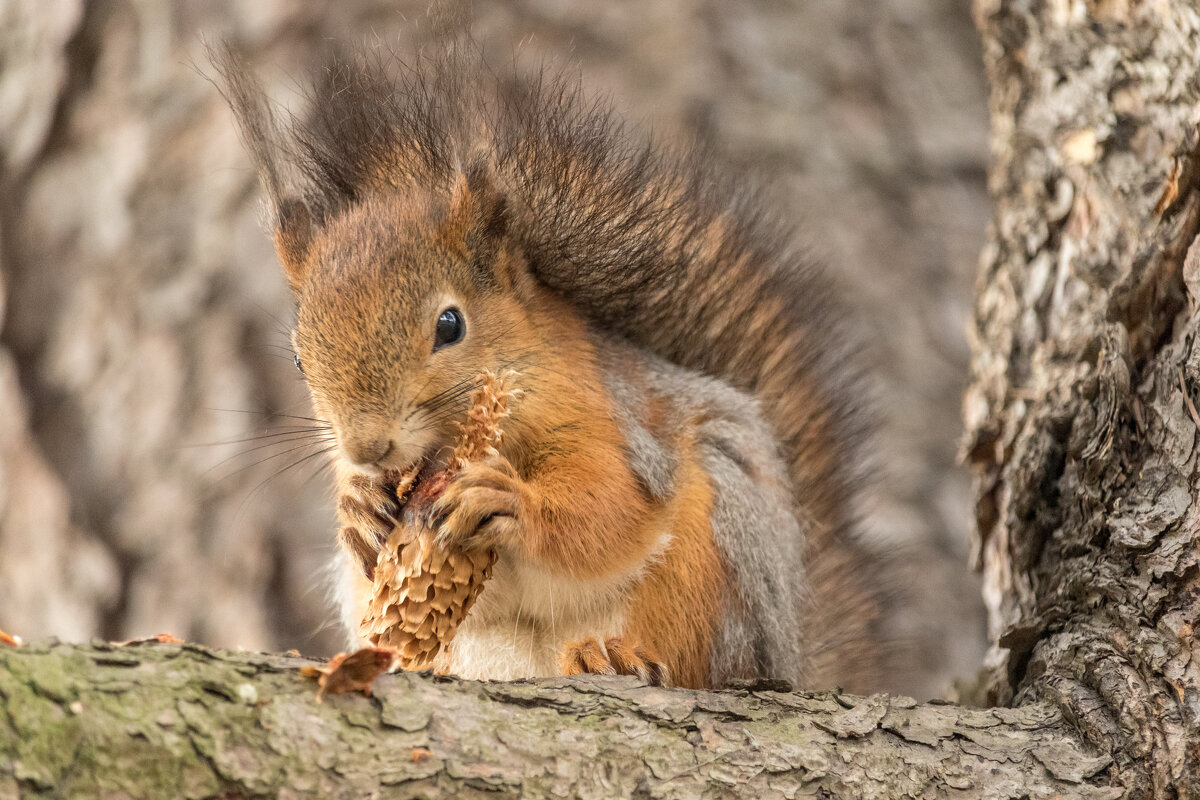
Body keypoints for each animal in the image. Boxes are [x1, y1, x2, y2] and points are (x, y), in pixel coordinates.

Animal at [216, 40, 897, 690]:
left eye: (450, 326)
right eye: (299, 359)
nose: (368, 447)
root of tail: (788, 653)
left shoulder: (605, 416)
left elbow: (607, 503)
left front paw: (508, 503)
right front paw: (356, 508)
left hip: (719, 559)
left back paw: (615, 656)